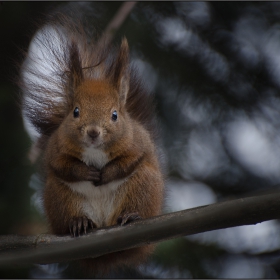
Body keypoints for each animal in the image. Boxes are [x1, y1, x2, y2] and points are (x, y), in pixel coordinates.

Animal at [19, 15, 164, 274]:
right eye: (75, 111)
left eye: (115, 115)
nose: (94, 132)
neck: (95, 151)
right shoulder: (56, 148)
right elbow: (62, 166)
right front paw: (86, 172)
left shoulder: (137, 144)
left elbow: (129, 161)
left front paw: (106, 174)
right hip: (60, 198)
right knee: (69, 215)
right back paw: (79, 223)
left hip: (143, 187)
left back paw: (131, 216)